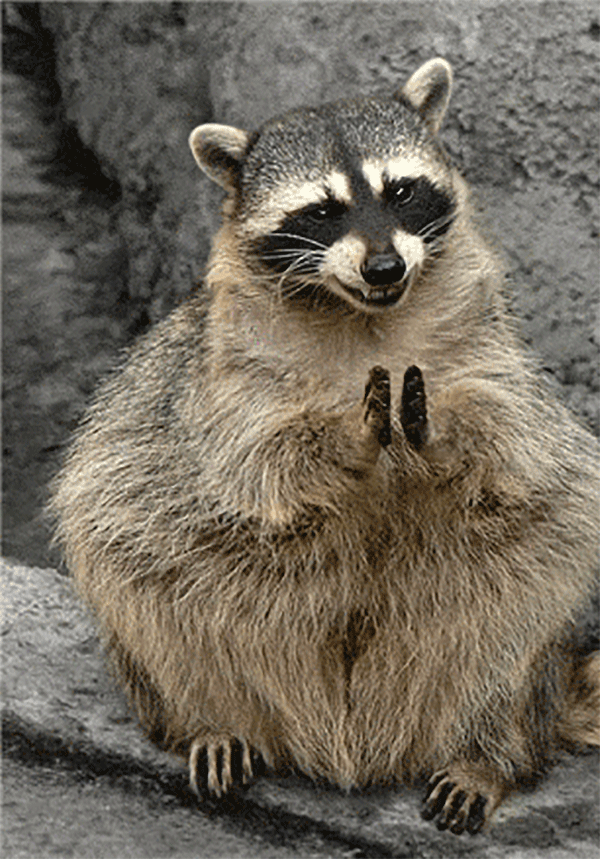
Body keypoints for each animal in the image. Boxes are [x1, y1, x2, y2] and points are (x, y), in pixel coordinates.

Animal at [49, 58, 599, 835]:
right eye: (321, 211)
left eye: (399, 190)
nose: (384, 266)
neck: (367, 315)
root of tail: (352, 740)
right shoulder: (223, 380)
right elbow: (254, 467)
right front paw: (342, 440)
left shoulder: (494, 359)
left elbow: (515, 451)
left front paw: (443, 435)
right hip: (167, 607)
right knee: (144, 593)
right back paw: (206, 721)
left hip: (507, 620)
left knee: (521, 625)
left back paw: (488, 755)